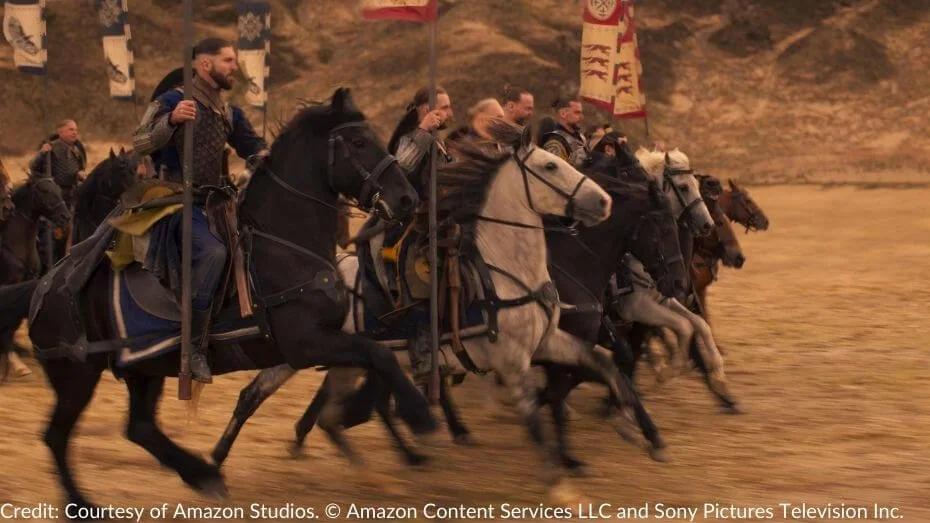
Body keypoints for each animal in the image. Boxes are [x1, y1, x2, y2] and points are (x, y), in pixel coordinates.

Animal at [0, 87, 436, 516]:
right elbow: (377, 355)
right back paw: (85, 502)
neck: (281, 244)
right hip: (78, 376)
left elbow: (377, 356)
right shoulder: (305, 343)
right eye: (360, 142)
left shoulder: (325, 340)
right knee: (57, 437)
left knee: (138, 427)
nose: (406, 199)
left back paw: (202, 474)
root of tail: (46, 285)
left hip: (145, 369)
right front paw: (418, 417)